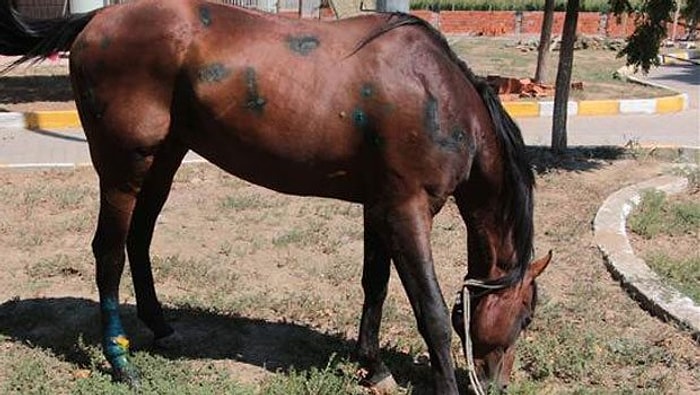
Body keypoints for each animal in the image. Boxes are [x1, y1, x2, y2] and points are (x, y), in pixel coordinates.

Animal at [1, 0, 552, 392]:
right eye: (526, 316)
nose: (497, 385)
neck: (438, 95)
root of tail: (97, 19)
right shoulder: (408, 211)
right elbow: (431, 309)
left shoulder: (380, 208)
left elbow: (374, 284)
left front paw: (372, 365)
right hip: (123, 169)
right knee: (109, 252)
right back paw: (119, 361)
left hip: (164, 161)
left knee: (139, 240)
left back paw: (159, 327)